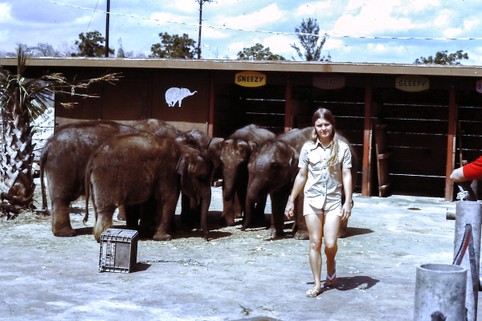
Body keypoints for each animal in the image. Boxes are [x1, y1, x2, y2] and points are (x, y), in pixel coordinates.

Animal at [85, 131, 213, 241]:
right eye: (202, 177)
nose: (206, 238)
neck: (183, 149)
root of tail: (92, 159)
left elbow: (150, 201)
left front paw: (144, 233)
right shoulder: (167, 171)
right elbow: (169, 198)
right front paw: (164, 238)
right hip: (106, 178)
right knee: (105, 209)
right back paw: (101, 236)